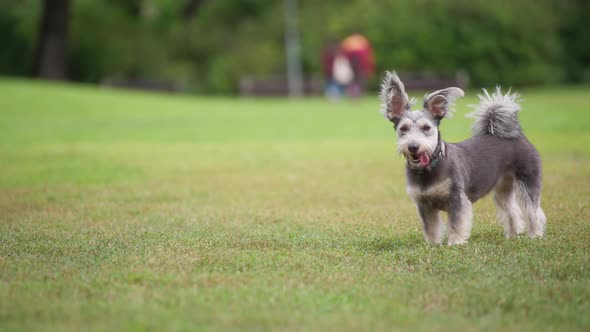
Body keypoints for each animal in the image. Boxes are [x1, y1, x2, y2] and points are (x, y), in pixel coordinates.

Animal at [382, 71, 548, 245]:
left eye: (426, 127)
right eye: (403, 128)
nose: (413, 146)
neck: (431, 167)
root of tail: (518, 135)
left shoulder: (457, 199)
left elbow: (456, 223)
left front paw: (455, 243)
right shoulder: (424, 204)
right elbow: (431, 228)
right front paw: (433, 245)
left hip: (528, 181)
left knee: (533, 211)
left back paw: (536, 235)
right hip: (503, 189)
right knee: (512, 211)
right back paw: (513, 235)